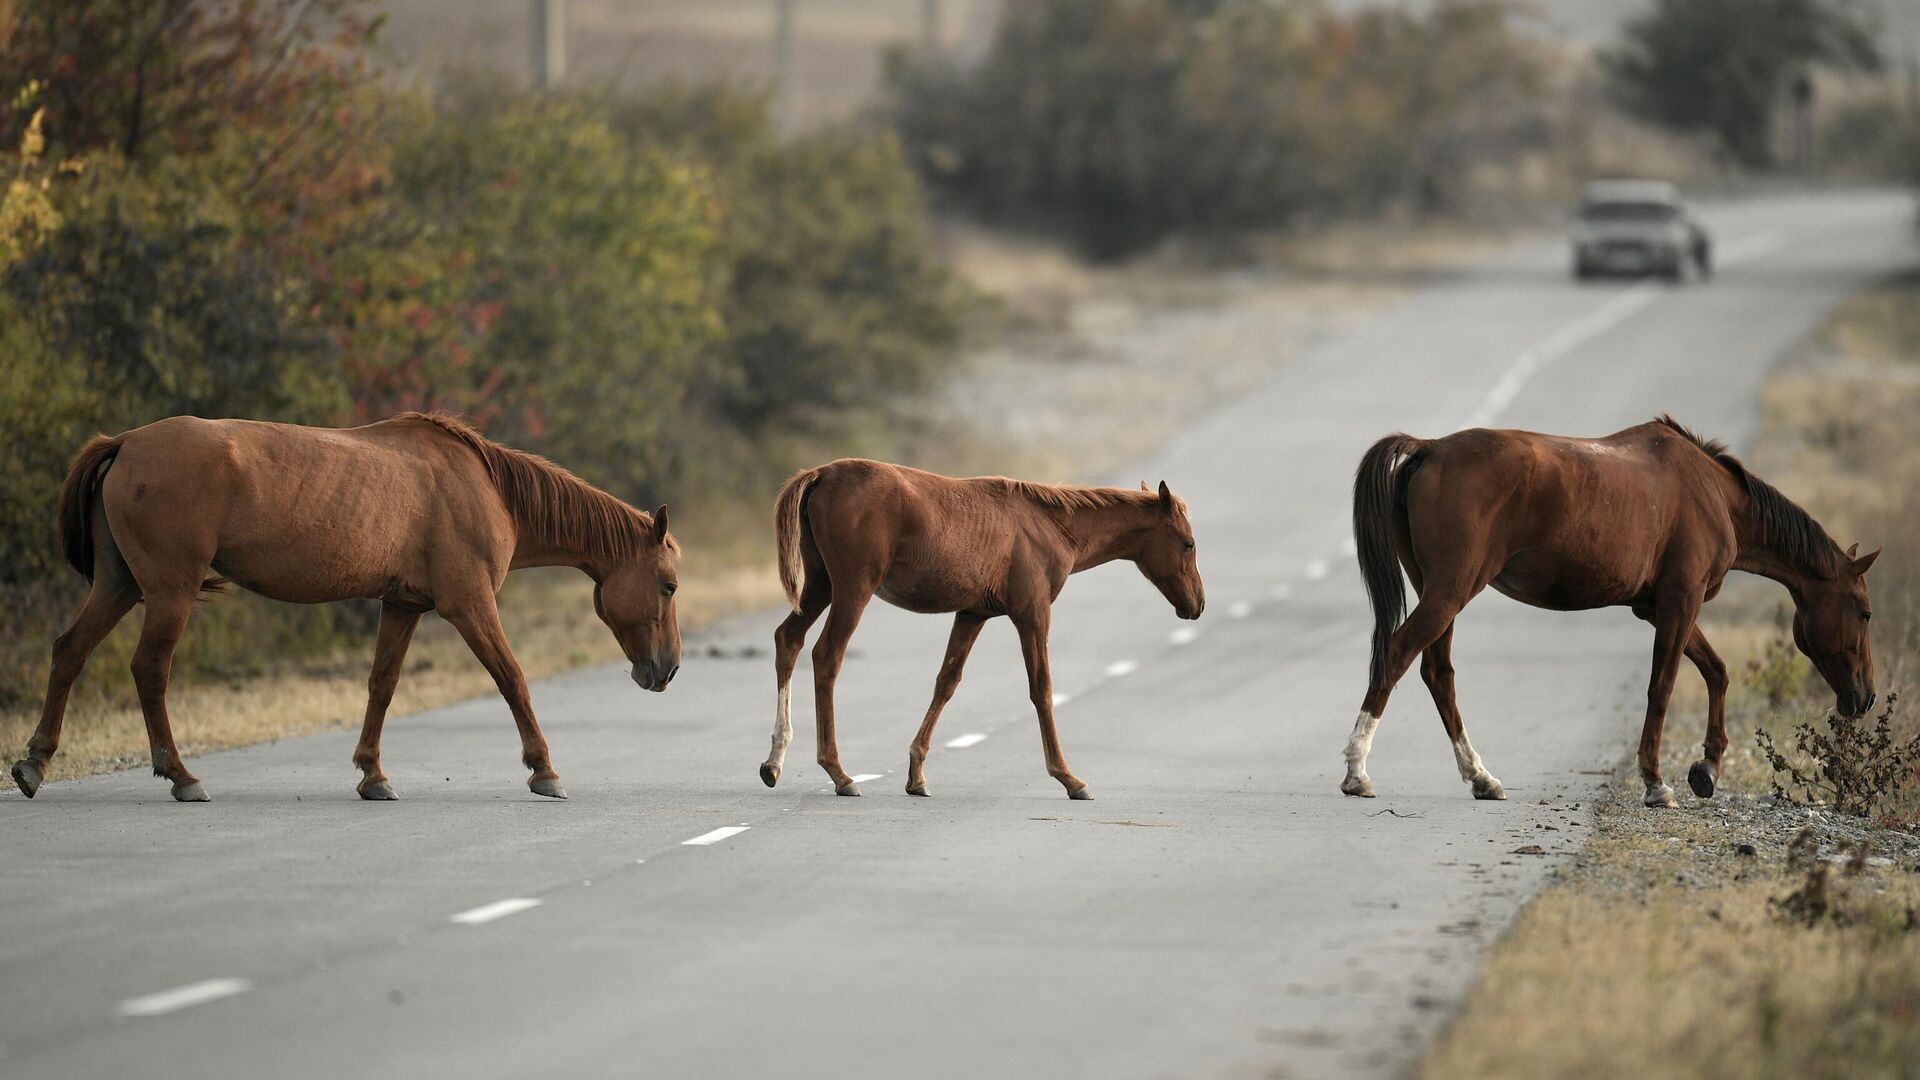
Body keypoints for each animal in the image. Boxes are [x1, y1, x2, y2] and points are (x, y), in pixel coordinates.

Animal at [752, 457, 1190, 795]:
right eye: (1188, 544)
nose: (1196, 604)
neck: (1049, 525)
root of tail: (821, 474)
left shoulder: (972, 615)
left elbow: (946, 683)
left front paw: (917, 775)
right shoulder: (1032, 613)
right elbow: (1041, 689)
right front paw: (1068, 778)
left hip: (820, 586)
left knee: (788, 640)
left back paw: (775, 760)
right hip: (852, 589)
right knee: (826, 656)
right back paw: (839, 773)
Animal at [1351, 417, 1873, 803]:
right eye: (1865, 612)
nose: (1864, 697)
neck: (1712, 494)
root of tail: (1430, 449)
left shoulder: (1658, 607)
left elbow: (1717, 672)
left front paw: (1707, 767)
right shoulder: (1680, 602)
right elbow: (1662, 687)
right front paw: (1657, 783)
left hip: (1438, 594)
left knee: (1438, 674)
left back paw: (1481, 777)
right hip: (1449, 593)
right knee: (1396, 655)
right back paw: (1357, 771)